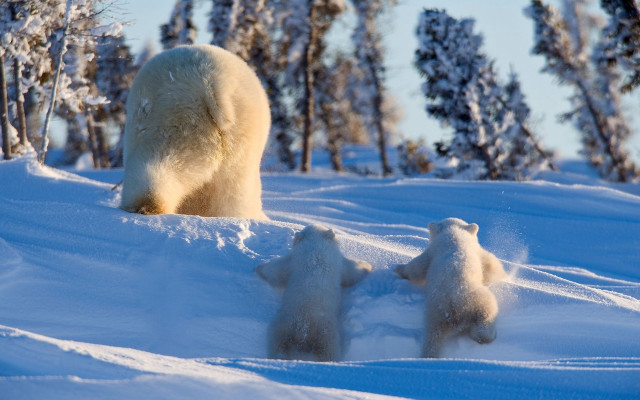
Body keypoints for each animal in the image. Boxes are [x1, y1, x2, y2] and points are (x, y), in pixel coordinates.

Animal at [120, 44, 270, 219]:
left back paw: (144, 206)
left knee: (159, 159)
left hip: (175, 120)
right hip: (240, 135)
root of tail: (213, 84)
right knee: (233, 190)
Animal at [254, 225, 372, 362]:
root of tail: (303, 330)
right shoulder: (297, 260)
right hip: (300, 327)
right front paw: (258, 268)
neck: (315, 251)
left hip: (306, 328)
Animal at [395, 218, 506, 358]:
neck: (454, 234)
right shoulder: (434, 250)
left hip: (437, 312)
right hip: (474, 299)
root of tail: (455, 310)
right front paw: (398, 268)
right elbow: (417, 267)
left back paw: (429, 354)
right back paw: (486, 336)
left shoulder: (434, 251)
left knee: (434, 335)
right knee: (488, 312)